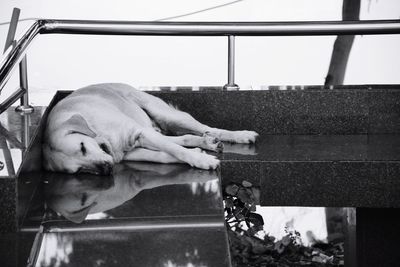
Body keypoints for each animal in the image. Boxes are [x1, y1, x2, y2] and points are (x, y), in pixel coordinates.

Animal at [42, 84, 258, 176]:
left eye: (82, 146)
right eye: (80, 170)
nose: (106, 169)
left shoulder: (139, 133)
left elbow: (176, 150)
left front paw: (202, 161)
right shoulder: (130, 152)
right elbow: (165, 155)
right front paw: (199, 154)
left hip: (167, 115)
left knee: (207, 128)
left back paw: (240, 136)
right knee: (185, 138)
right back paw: (207, 143)